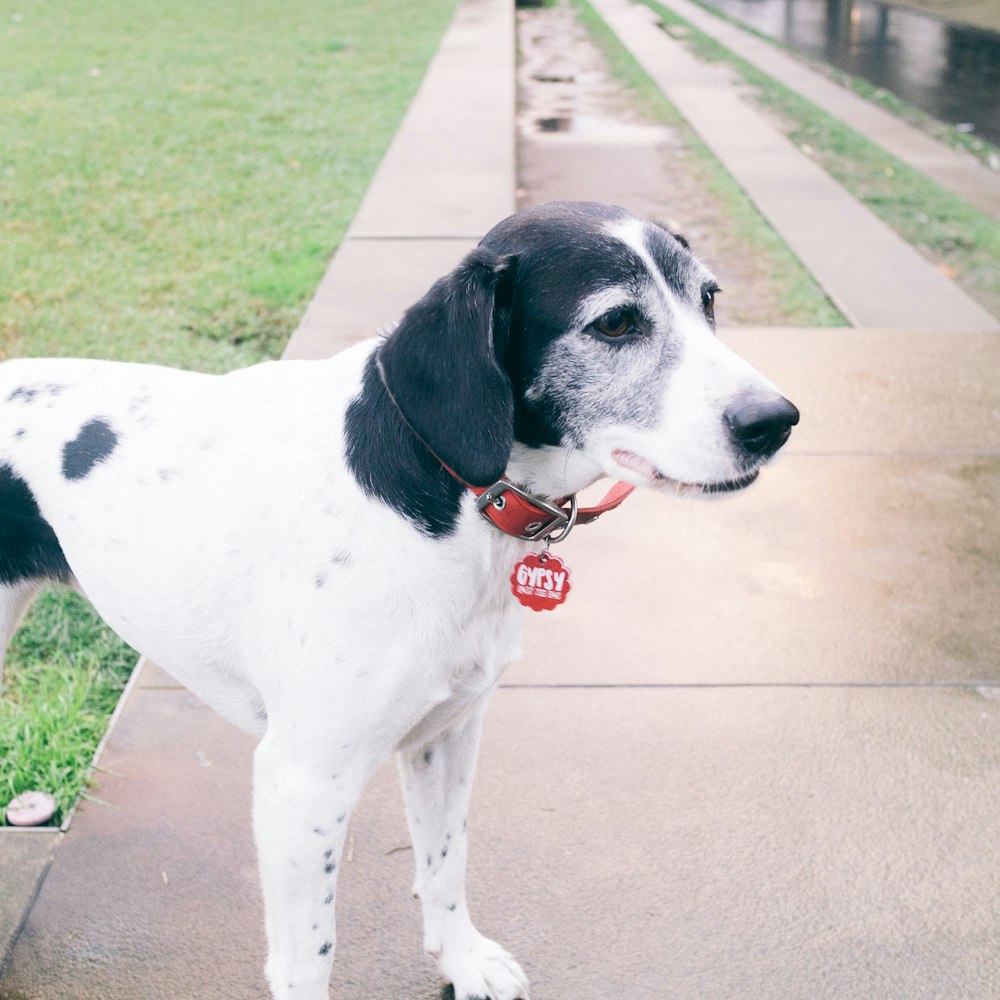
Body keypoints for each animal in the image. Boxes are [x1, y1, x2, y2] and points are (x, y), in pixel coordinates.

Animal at [0, 199, 796, 996]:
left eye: (709, 300)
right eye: (616, 323)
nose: (777, 420)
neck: (448, 487)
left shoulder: (448, 733)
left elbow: (446, 861)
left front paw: (461, 958)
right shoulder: (301, 785)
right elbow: (308, 958)